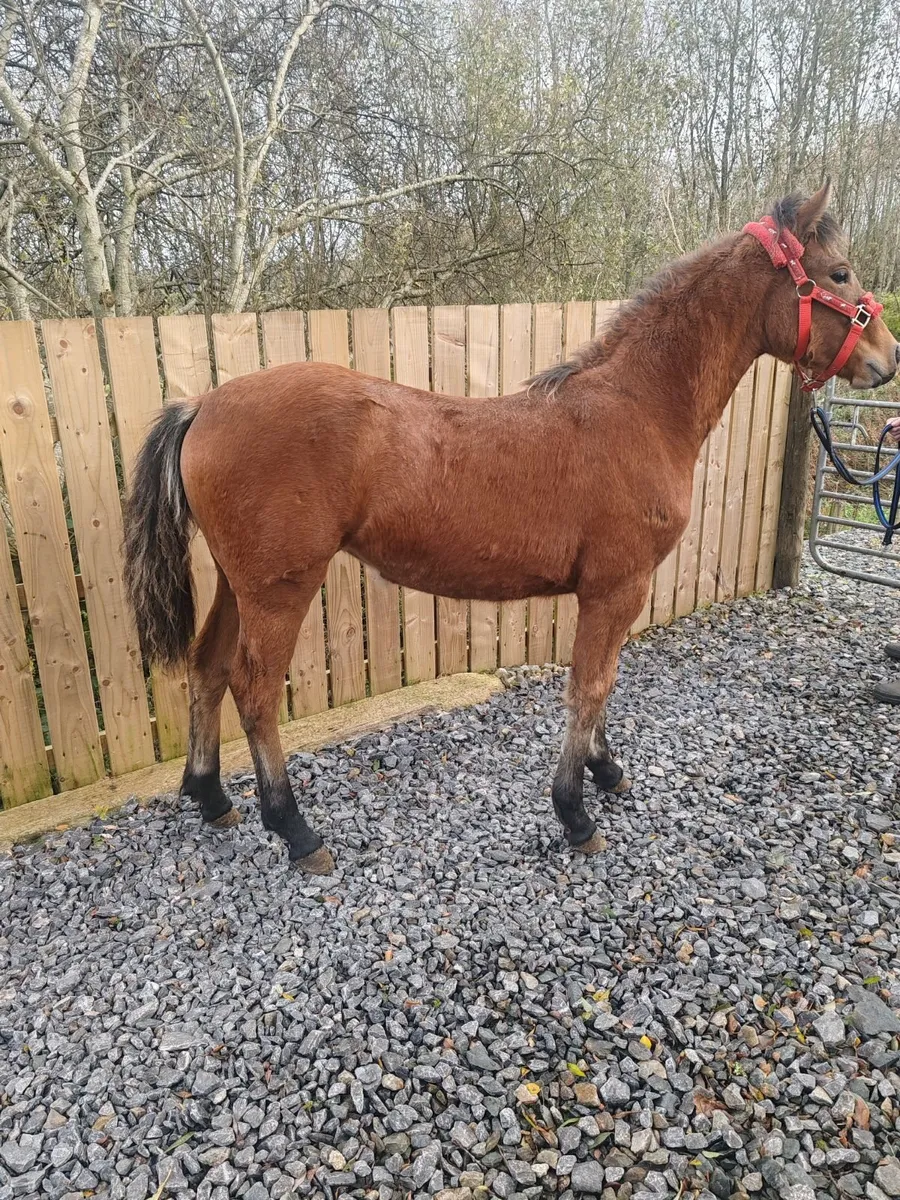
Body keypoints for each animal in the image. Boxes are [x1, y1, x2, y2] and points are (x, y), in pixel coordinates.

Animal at [123, 182, 899, 874]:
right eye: (839, 273)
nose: (887, 360)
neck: (639, 407)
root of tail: (202, 405)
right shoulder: (618, 586)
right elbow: (590, 685)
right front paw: (576, 813)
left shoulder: (613, 592)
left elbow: (601, 683)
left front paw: (605, 772)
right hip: (279, 589)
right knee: (253, 690)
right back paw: (294, 829)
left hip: (239, 584)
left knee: (207, 667)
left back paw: (212, 797)